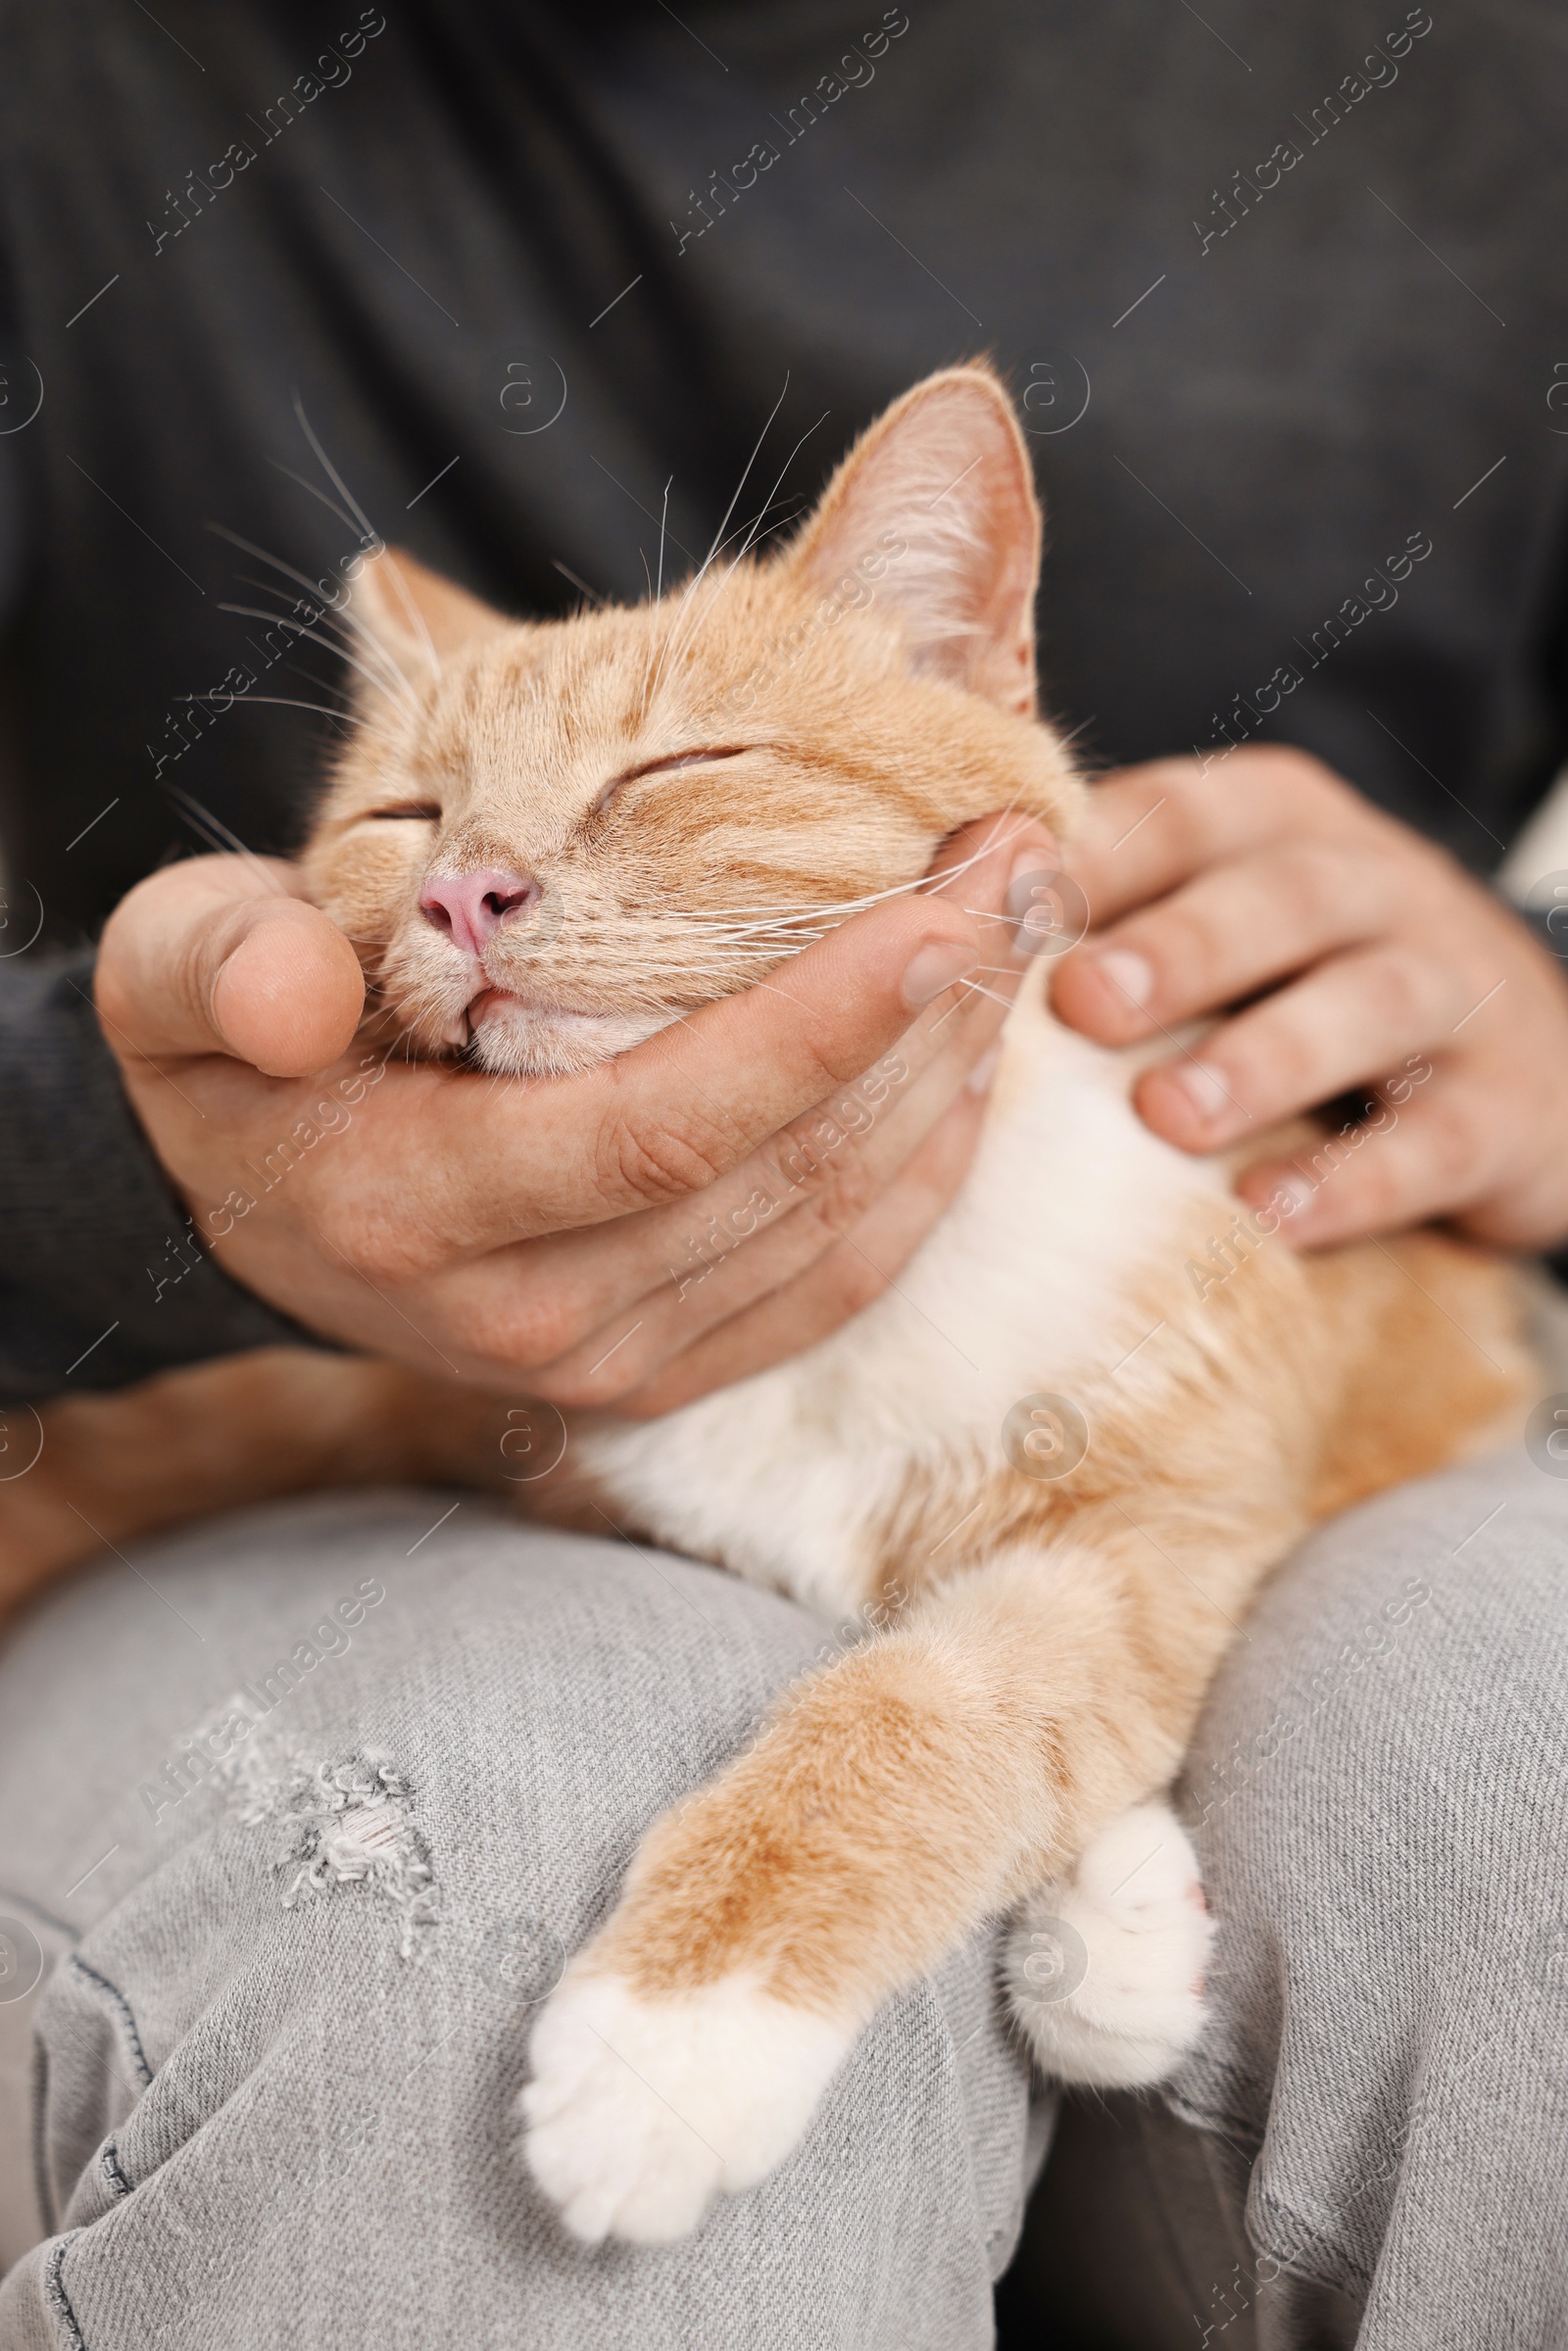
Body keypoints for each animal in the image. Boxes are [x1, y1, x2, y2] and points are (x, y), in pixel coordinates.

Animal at [0, 362, 1523, 2237]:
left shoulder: (1182, 1486)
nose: (462, 890)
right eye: (403, 816)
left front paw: (686, 2037)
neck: (867, 1316)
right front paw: (1076, 1935)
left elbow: (935, 1702)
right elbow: (958, 1678)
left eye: (681, 764)